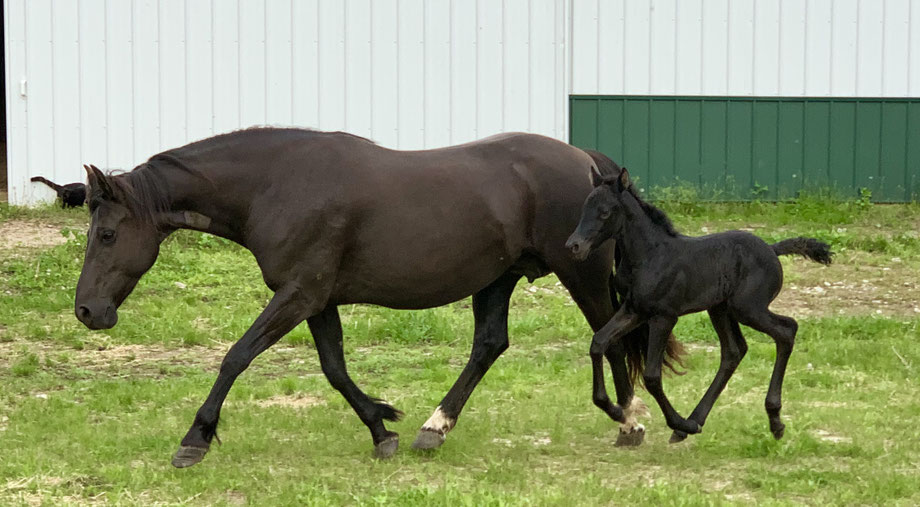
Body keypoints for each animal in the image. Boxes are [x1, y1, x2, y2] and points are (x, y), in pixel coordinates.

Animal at [73, 128, 681, 467]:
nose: (86, 311)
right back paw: (433, 429)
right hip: (498, 278)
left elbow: (236, 356)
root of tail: (589, 163)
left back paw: (630, 423)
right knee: (489, 345)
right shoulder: (317, 300)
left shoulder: (300, 294)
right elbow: (335, 369)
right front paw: (382, 427)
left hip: (580, 273)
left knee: (609, 335)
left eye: (106, 235)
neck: (277, 184)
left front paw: (194, 440)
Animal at [565, 167, 832, 443]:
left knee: (787, 330)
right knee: (734, 351)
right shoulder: (634, 310)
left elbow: (652, 376)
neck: (650, 255)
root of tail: (771, 248)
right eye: (585, 208)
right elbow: (599, 342)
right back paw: (694, 422)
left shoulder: (664, 316)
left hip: (748, 308)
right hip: (720, 309)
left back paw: (772, 420)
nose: (574, 246)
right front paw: (614, 409)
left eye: (605, 212)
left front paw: (676, 421)